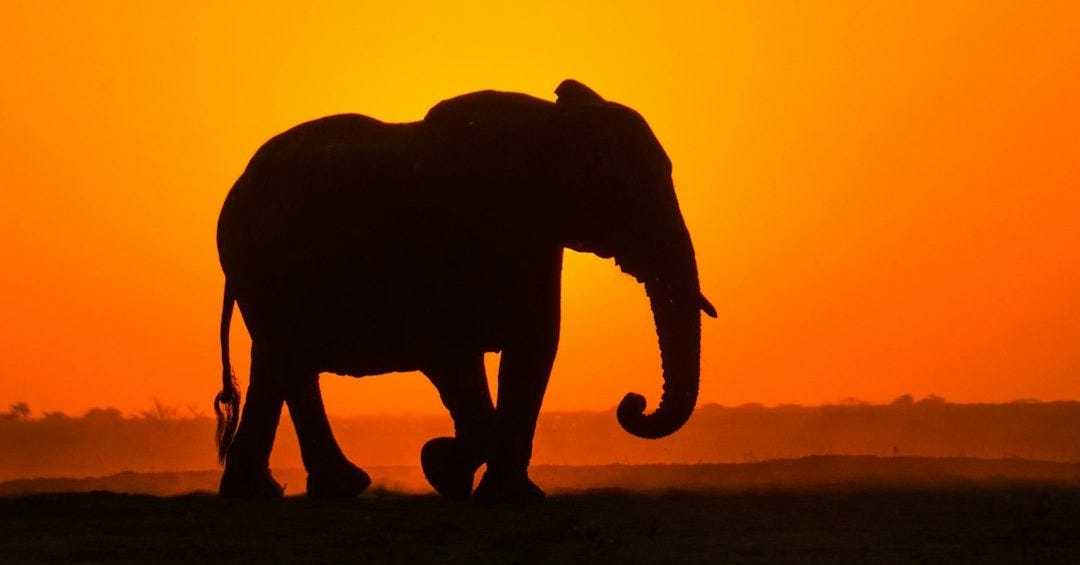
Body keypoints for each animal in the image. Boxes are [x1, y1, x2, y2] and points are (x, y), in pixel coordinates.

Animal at [214, 79, 716, 503]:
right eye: (620, 190)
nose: (633, 402)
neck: (549, 126)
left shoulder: (538, 240)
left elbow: (534, 348)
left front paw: (506, 494)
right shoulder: (444, 238)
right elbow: (451, 354)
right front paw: (443, 467)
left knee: (277, 362)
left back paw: (279, 490)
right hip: (254, 260)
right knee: (287, 359)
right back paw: (325, 487)